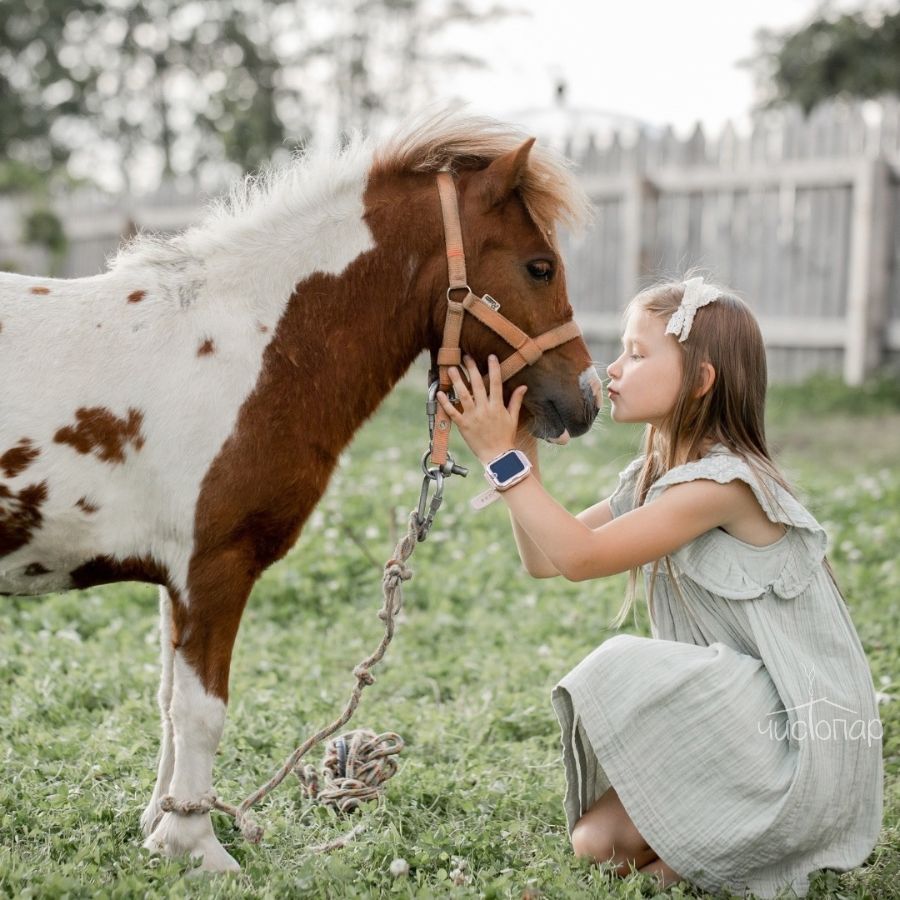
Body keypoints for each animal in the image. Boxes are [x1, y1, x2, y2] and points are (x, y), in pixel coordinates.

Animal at [1, 112, 604, 872]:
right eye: (539, 266)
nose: (587, 400)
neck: (250, 351)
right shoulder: (214, 569)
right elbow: (200, 711)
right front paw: (196, 847)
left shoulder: (177, 582)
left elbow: (169, 703)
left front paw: (162, 827)